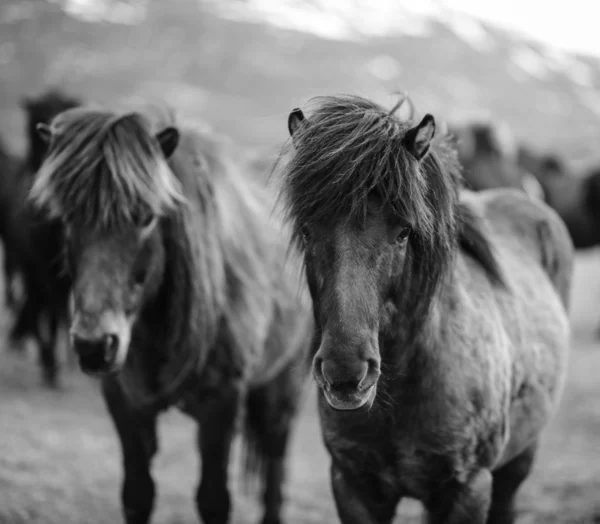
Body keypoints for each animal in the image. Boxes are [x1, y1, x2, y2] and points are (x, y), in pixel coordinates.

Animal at [29, 103, 314, 524]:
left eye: (147, 217)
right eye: (67, 219)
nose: (95, 346)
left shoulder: (221, 405)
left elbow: (214, 500)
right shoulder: (125, 403)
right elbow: (137, 495)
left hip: (283, 385)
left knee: (275, 470)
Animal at [278, 95, 576, 524]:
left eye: (404, 232)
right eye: (306, 229)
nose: (346, 373)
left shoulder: (467, 489)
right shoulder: (353, 485)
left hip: (518, 461)